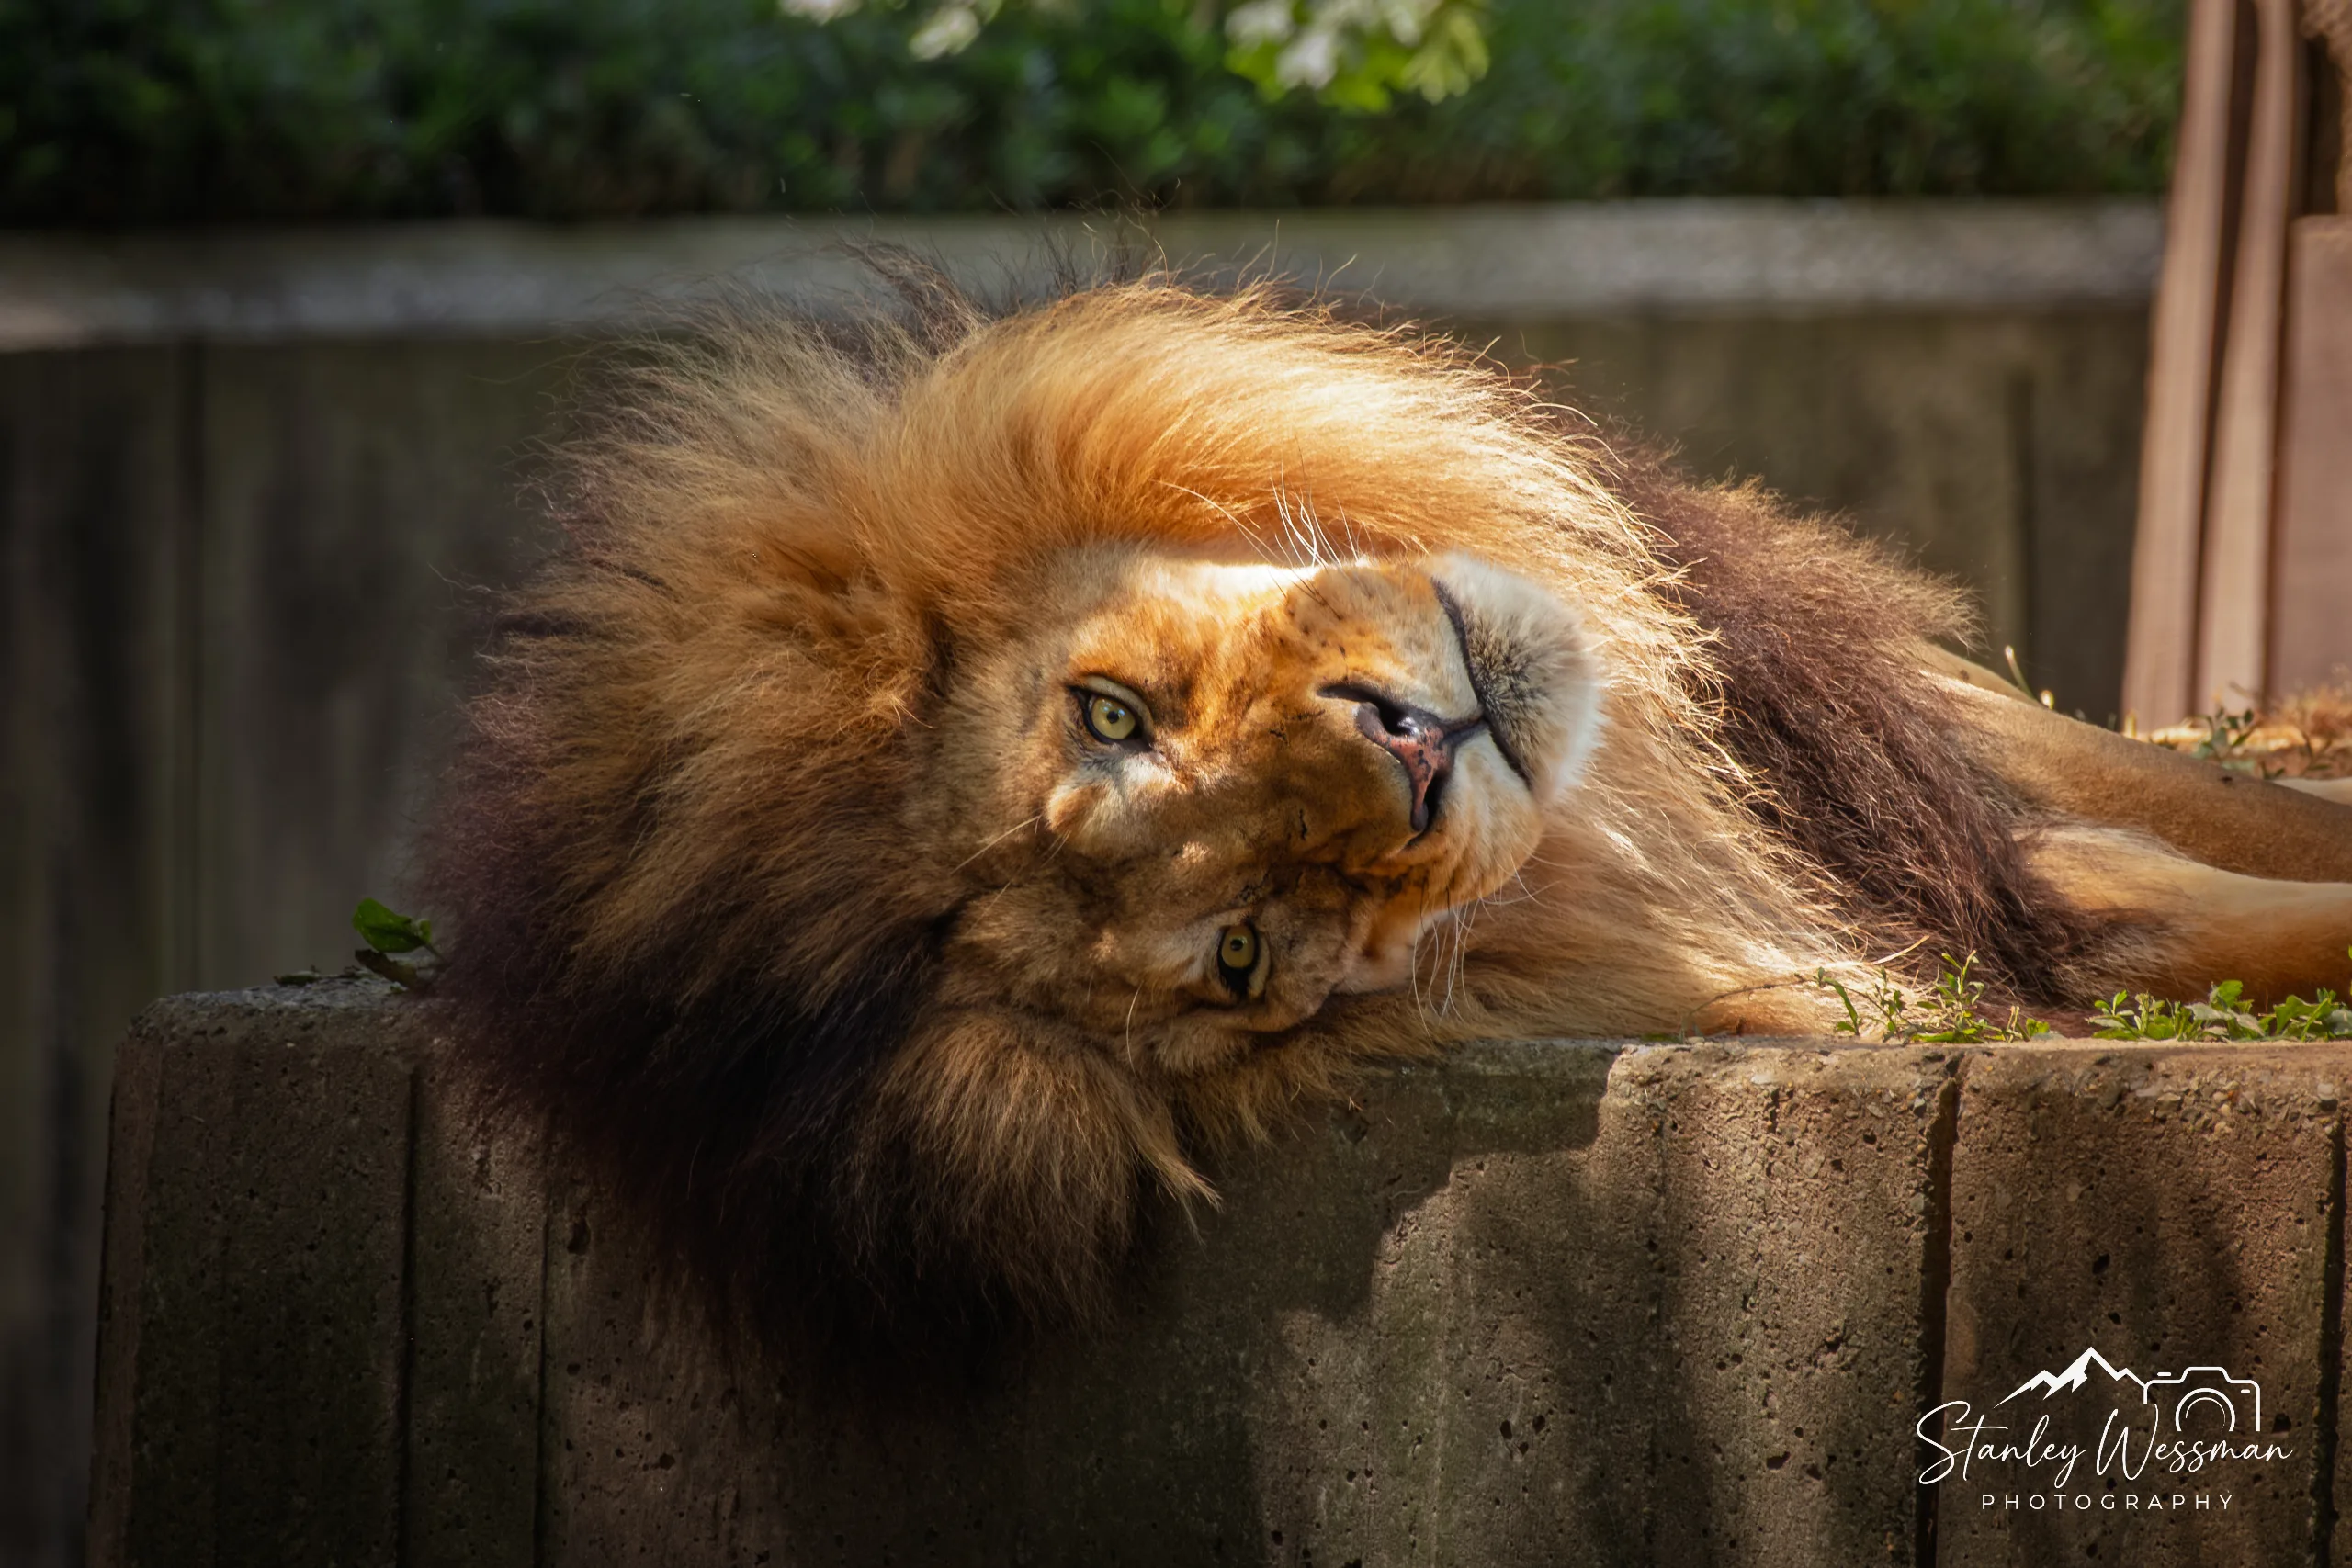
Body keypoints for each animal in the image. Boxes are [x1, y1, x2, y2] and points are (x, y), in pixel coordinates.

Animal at [428, 273, 2352, 1357]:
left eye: (1111, 713)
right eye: (1242, 956)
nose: (1417, 751)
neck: (1627, 816)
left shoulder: (1904, 756)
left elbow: (2213, 804)